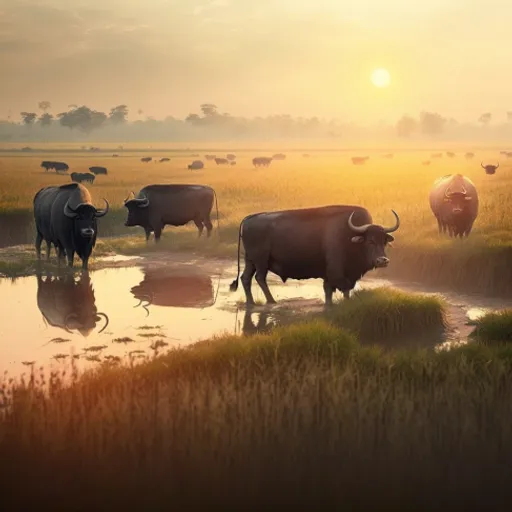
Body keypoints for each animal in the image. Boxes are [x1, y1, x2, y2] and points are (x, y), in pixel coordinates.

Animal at [229, 207, 400, 306]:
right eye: (370, 241)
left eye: (384, 241)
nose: (383, 260)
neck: (350, 236)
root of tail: (250, 218)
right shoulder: (335, 273)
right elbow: (339, 288)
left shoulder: (337, 276)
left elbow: (335, 291)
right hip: (261, 261)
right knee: (260, 278)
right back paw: (271, 301)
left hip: (250, 261)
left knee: (245, 278)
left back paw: (252, 303)